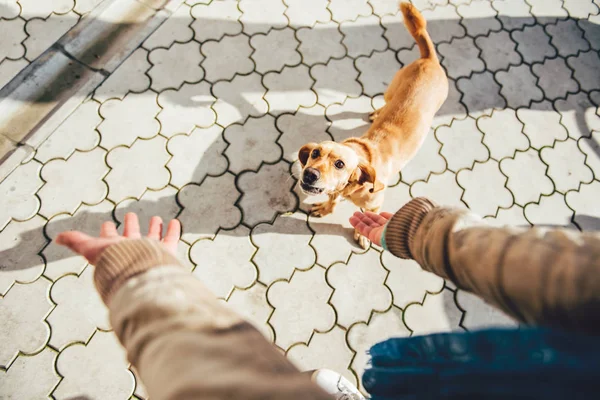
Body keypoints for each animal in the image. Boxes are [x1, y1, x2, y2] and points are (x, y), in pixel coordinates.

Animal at [298, 1, 448, 248]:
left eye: (340, 164)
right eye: (315, 153)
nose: (309, 174)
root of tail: (430, 59)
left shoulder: (375, 203)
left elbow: (367, 215)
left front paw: (361, 234)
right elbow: (332, 200)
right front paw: (327, 208)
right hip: (391, 91)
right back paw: (377, 113)